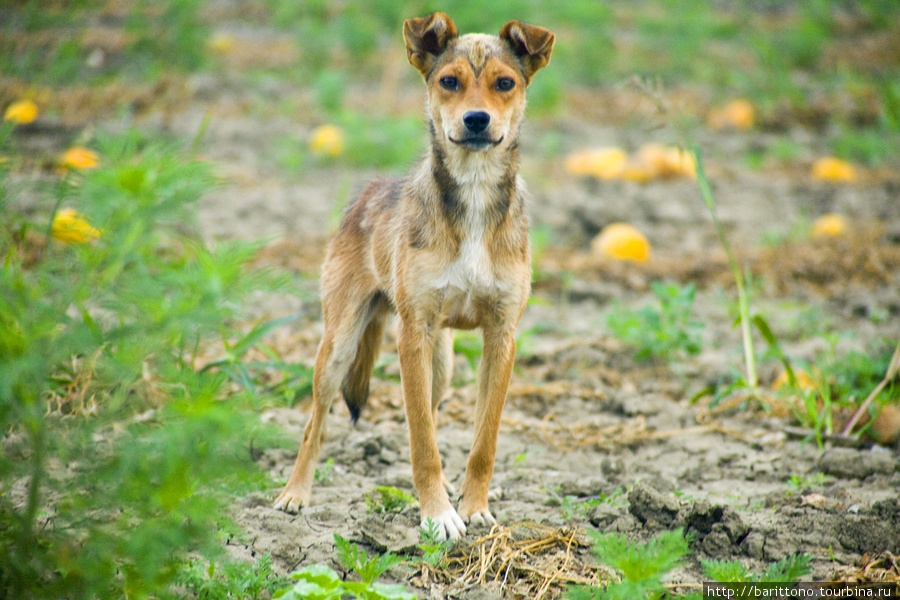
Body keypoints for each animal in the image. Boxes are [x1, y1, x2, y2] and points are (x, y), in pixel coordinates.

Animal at [274, 12, 556, 540]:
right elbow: (421, 440)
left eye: (504, 84)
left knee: (433, 410)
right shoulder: (412, 336)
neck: (474, 194)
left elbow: (483, 440)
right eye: (449, 82)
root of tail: (369, 190)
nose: (476, 120)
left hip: (440, 365)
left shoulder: (501, 336)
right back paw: (294, 494)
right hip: (340, 344)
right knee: (314, 424)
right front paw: (437, 515)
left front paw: (473, 506)